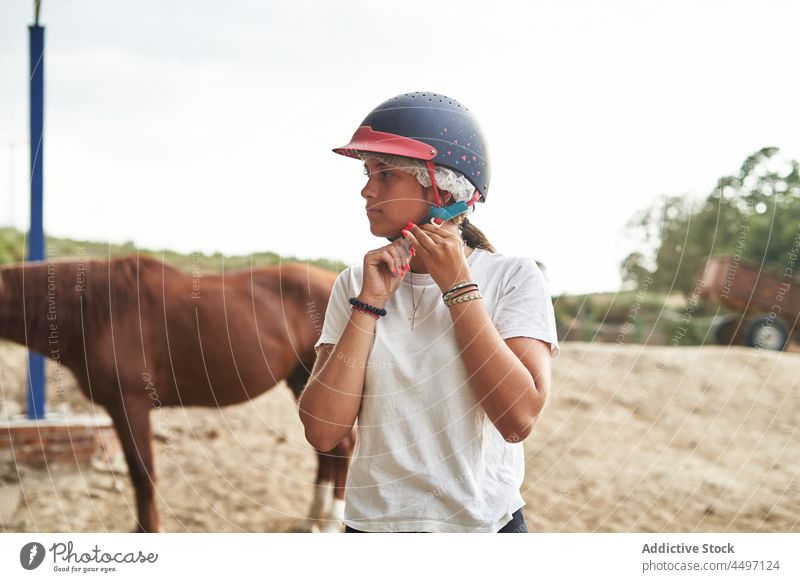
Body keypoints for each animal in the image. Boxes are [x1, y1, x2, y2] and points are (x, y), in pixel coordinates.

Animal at [0, 256, 354, 532]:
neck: (95, 311)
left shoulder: (130, 404)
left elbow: (142, 475)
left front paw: (148, 530)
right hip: (302, 382)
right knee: (326, 451)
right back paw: (311, 520)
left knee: (341, 449)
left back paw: (331, 523)